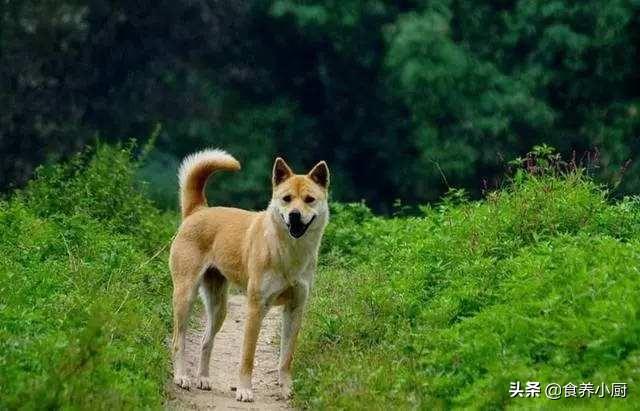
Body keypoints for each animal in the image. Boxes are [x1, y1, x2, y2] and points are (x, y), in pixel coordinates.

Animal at [170, 149, 330, 402]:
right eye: (286, 199)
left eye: (309, 199)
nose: (294, 215)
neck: (288, 252)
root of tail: (199, 210)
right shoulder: (256, 308)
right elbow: (247, 357)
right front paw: (244, 390)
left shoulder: (295, 309)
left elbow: (286, 358)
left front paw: (286, 389)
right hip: (185, 296)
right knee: (178, 340)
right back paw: (181, 377)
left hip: (219, 307)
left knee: (206, 341)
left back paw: (203, 379)